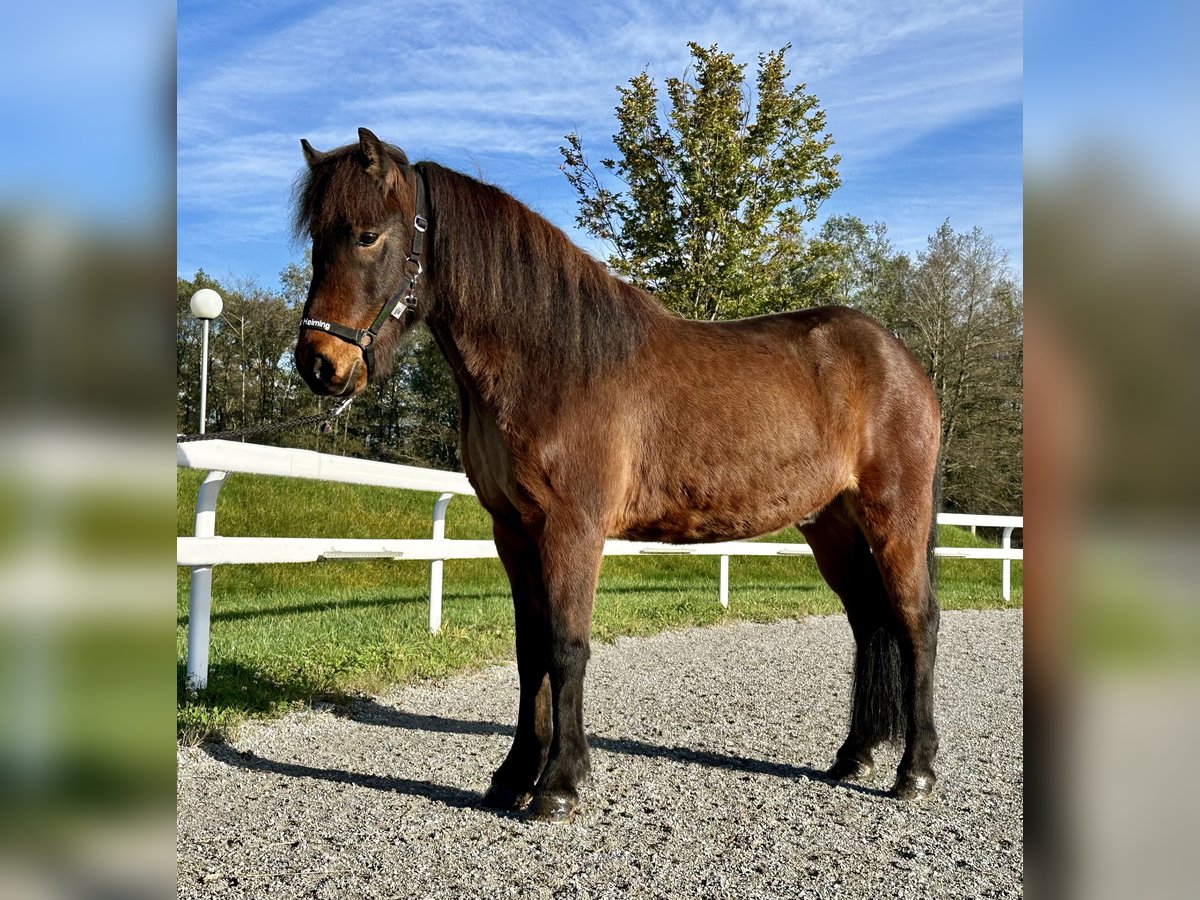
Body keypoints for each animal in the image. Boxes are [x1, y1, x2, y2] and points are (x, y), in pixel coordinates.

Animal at [295, 128, 940, 825]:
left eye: (366, 235)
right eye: (315, 237)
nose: (318, 364)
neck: (551, 361)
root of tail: (901, 360)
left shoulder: (571, 528)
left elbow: (566, 647)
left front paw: (558, 784)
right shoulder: (513, 532)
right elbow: (530, 651)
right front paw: (513, 776)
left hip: (893, 516)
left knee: (916, 621)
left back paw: (915, 771)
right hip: (831, 526)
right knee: (870, 622)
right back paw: (854, 757)